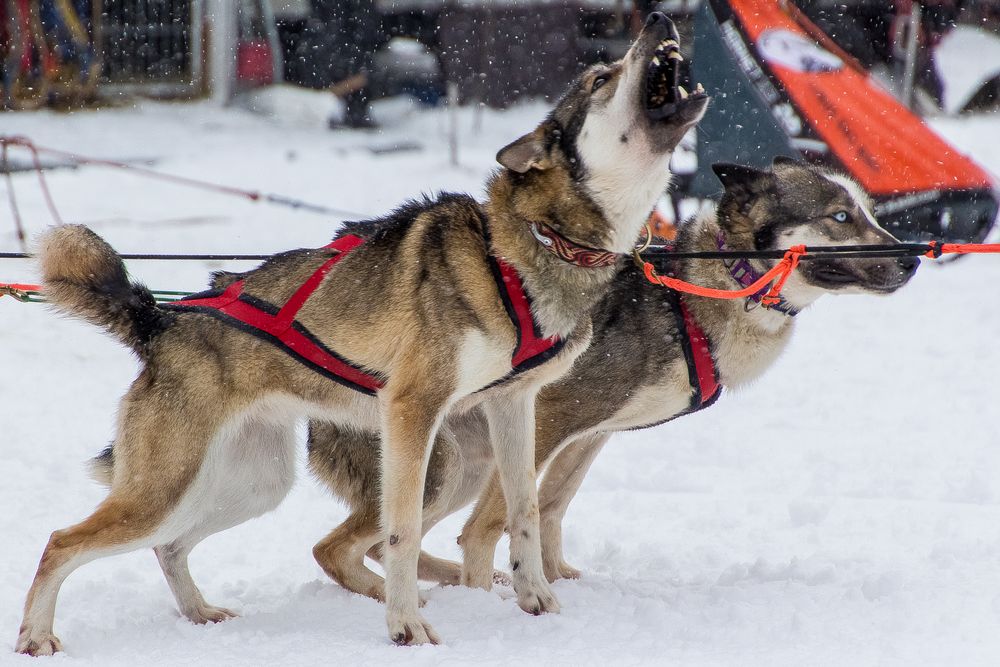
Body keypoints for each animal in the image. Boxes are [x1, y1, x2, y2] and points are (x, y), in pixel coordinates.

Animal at [13, 10, 704, 656]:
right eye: (601, 78)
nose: (658, 19)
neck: (529, 245)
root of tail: (160, 320)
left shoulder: (514, 405)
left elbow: (525, 511)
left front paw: (537, 600)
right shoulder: (412, 410)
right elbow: (402, 530)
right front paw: (406, 628)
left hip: (252, 483)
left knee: (171, 546)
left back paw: (199, 612)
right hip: (172, 485)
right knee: (60, 542)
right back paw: (36, 636)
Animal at [306, 158, 920, 600]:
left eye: (869, 212)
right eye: (840, 216)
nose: (913, 259)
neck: (690, 296)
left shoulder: (590, 434)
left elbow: (550, 508)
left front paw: (551, 578)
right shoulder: (550, 418)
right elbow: (493, 525)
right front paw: (494, 600)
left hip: (465, 466)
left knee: (372, 545)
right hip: (443, 467)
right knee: (337, 549)